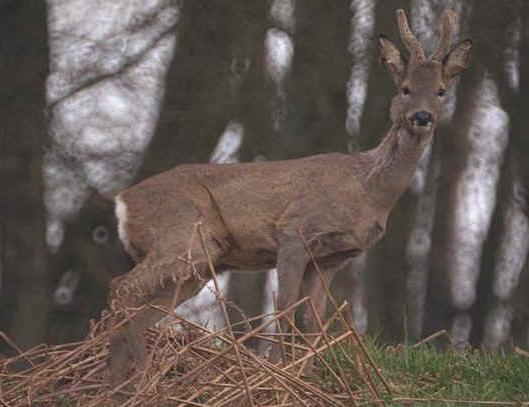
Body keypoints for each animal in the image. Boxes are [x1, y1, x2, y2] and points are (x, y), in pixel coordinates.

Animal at [106, 8, 470, 382]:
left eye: (441, 91)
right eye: (405, 88)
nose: (422, 117)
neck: (366, 191)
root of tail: (123, 202)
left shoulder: (333, 258)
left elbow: (312, 318)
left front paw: (304, 373)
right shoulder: (295, 230)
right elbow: (284, 306)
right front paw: (279, 372)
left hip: (199, 265)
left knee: (141, 307)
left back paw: (117, 380)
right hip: (182, 238)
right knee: (122, 287)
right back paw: (142, 375)